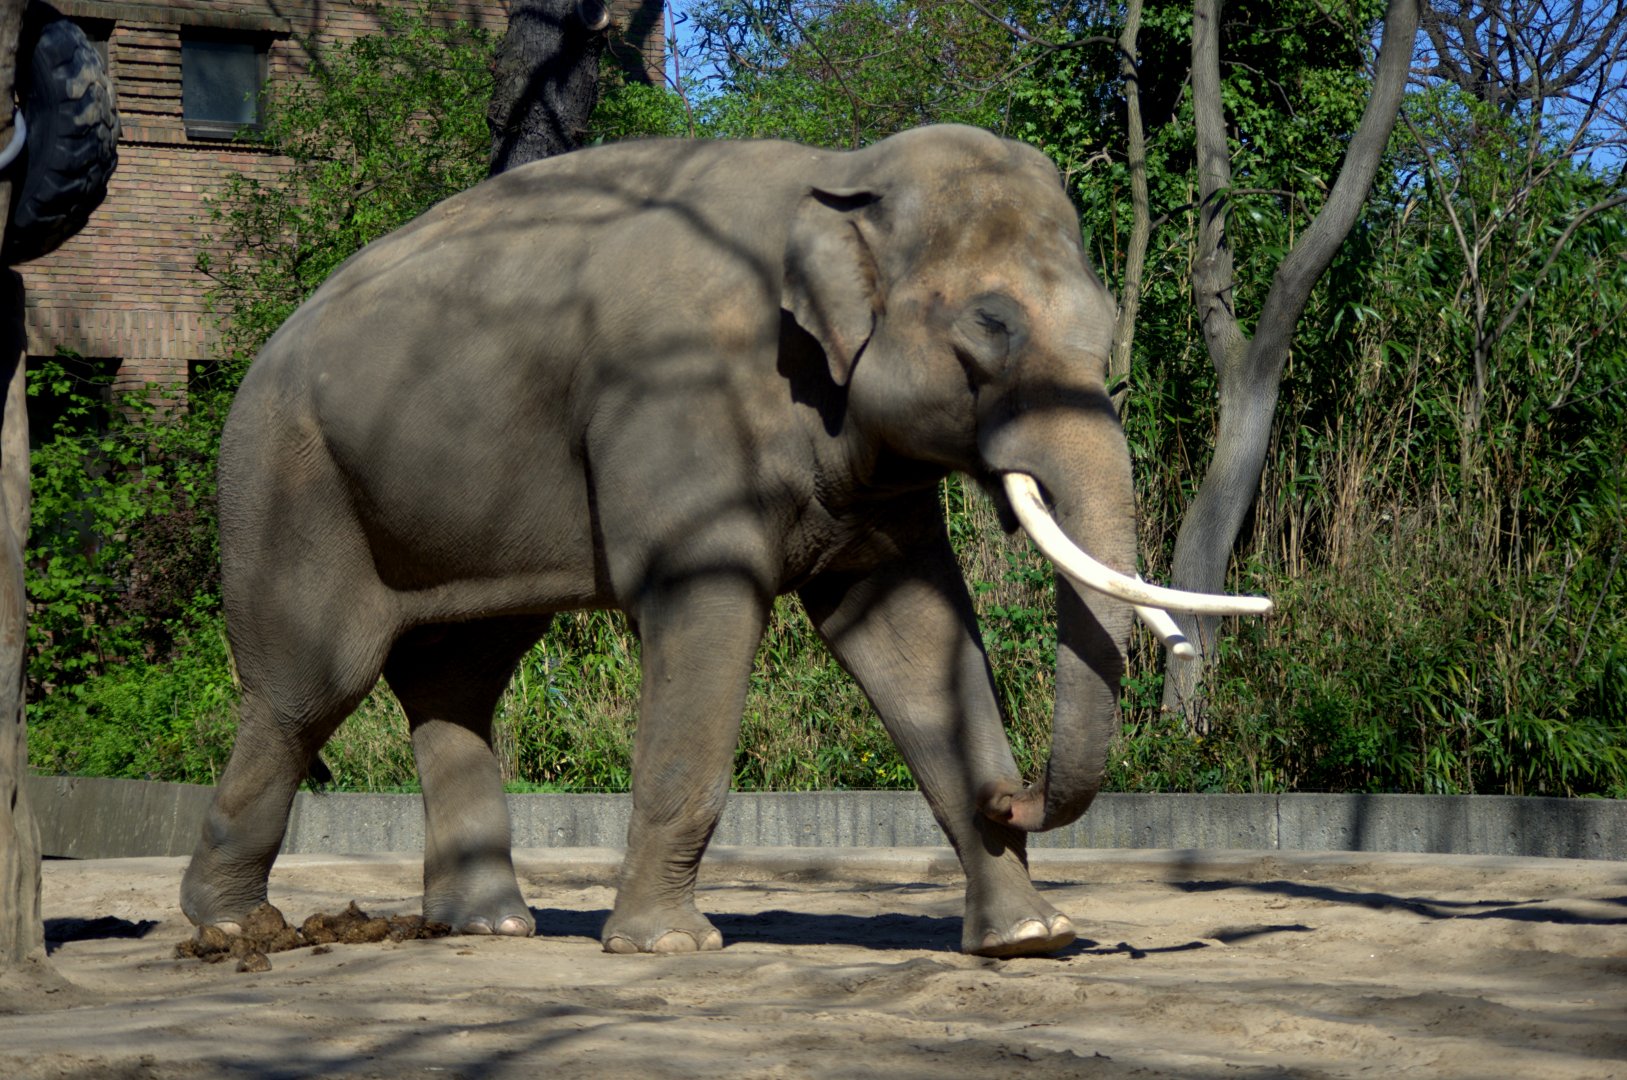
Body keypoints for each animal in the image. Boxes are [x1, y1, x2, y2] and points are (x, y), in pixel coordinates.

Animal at [180, 124, 1267, 958]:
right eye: (991, 325)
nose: (1013, 795)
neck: (837, 175)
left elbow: (913, 638)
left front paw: (1029, 940)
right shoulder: (679, 404)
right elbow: (707, 610)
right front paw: (667, 946)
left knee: (458, 678)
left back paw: (487, 928)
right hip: (288, 480)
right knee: (310, 687)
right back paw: (233, 930)